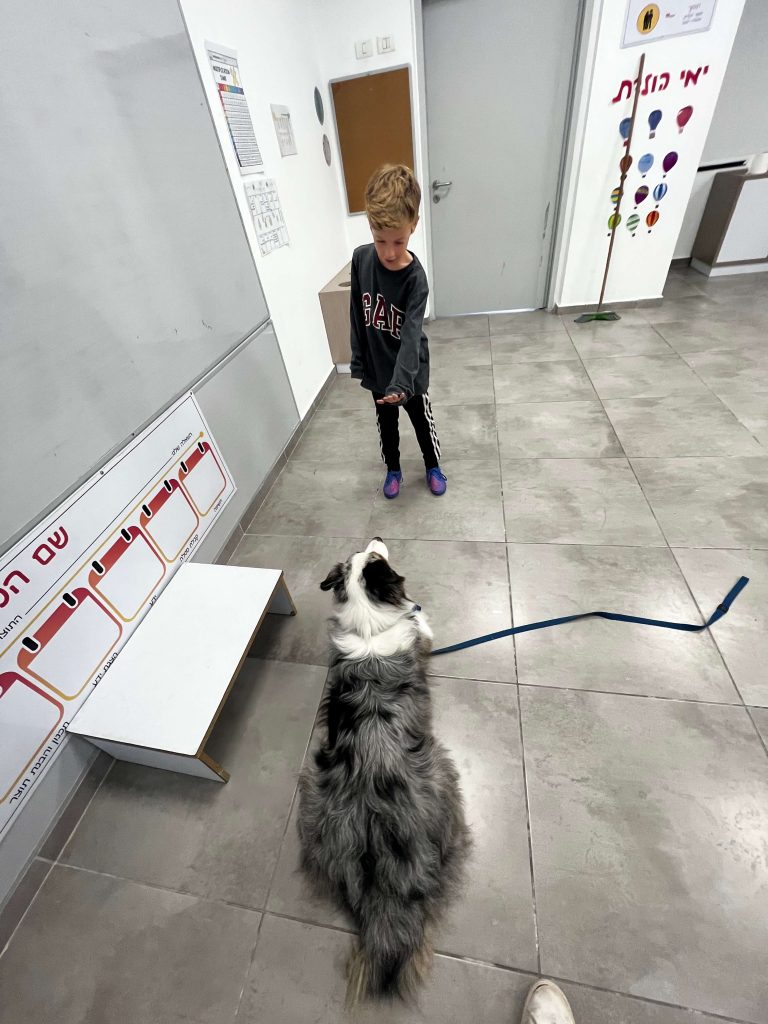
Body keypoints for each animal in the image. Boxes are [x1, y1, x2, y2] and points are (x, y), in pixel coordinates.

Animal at [296, 538, 471, 1003]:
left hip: (312, 793)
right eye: (375, 557)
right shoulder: (424, 637)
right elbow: (425, 626)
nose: (375, 536)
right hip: (445, 773)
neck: (370, 624)